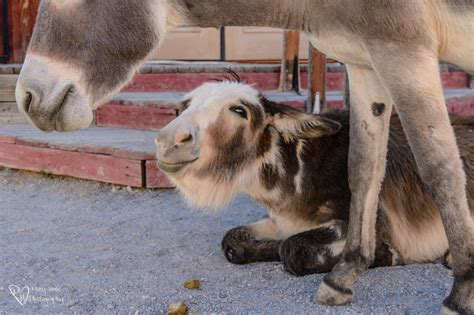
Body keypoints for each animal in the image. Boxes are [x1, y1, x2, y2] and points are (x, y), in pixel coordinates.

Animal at [156, 82, 474, 278]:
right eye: (185, 105)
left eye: (239, 110)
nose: (167, 141)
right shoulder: (281, 220)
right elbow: (233, 241)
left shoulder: (371, 221)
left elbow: (291, 250)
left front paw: (387, 255)